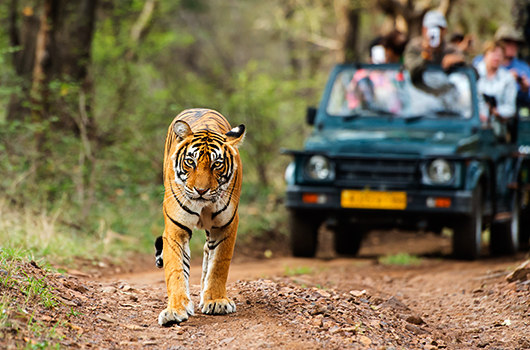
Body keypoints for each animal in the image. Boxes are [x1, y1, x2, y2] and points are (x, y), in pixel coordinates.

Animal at [154, 108, 242, 326]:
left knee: (208, 253)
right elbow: (176, 269)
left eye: (217, 164)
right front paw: (175, 310)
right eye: (190, 162)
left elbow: (219, 264)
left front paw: (216, 300)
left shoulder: (226, 225)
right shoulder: (175, 229)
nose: (201, 191)